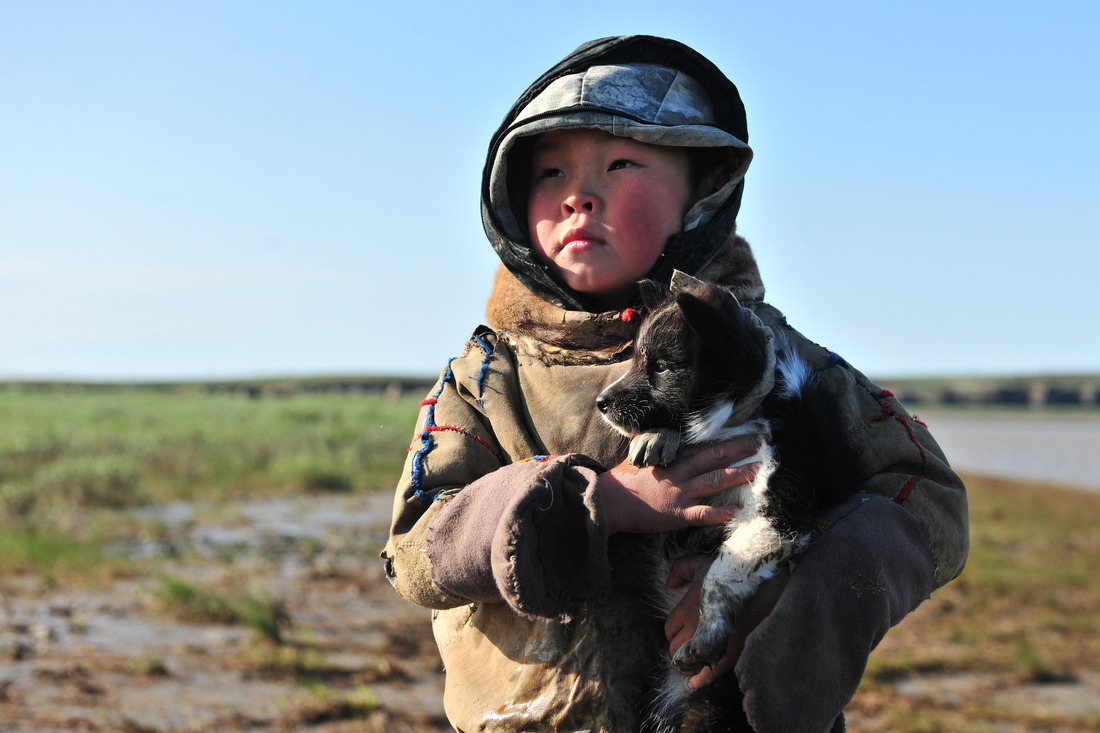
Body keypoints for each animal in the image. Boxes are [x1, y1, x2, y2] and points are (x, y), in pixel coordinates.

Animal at [598, 270, 836, 726]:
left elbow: (720, 572)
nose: (599, 403)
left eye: (662, 366)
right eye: (636, 359)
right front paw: (657, 437)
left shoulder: (778, 510)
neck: (737, 417)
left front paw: (705, 636)